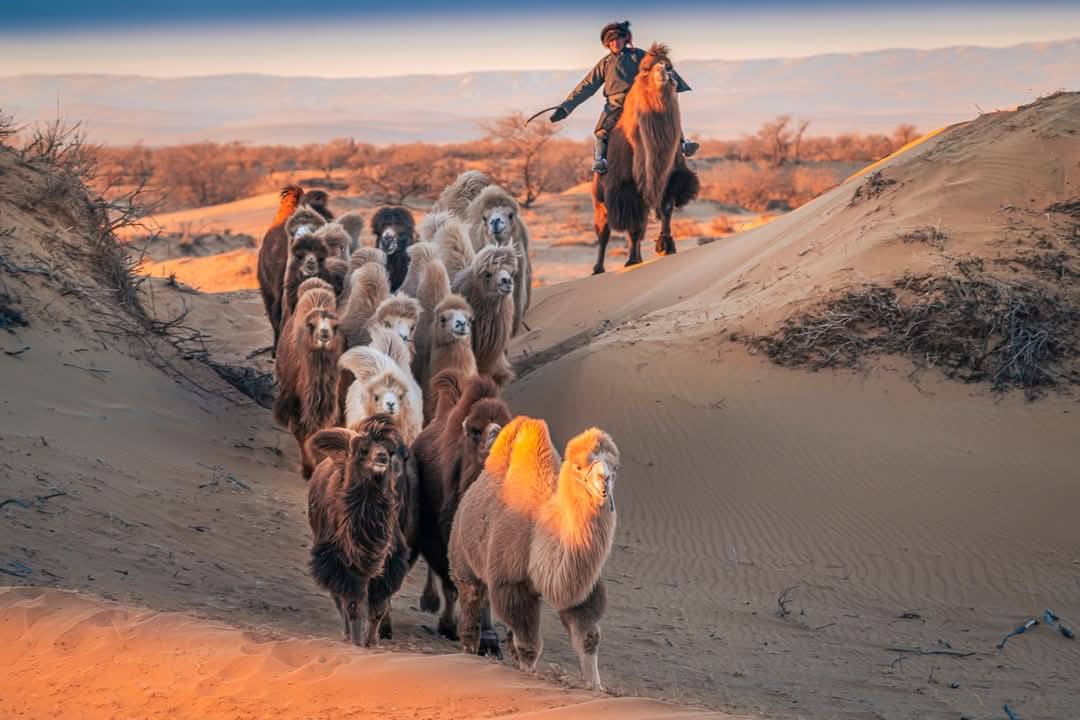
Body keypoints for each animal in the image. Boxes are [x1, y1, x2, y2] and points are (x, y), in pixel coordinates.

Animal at [447, 418, 617, 690]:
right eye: (579, 466)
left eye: (614, 466)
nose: (605, 479)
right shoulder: (512, 584)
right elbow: (529, 645)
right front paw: (527, 678)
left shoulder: (580, 587)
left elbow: (588, 638)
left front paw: (595, 687)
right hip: (462, 561)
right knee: (471, 606)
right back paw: (468, 653)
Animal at [591, 42, 699, 273]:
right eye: (645, 69)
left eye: (669, 65)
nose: (663, 70)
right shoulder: (626, 189)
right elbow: (633, 226)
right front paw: (632, 260)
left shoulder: (671, 178)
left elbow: (665, 209)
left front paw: (665, 246)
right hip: (599, 198)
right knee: (604, 231)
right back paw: (598, 268)